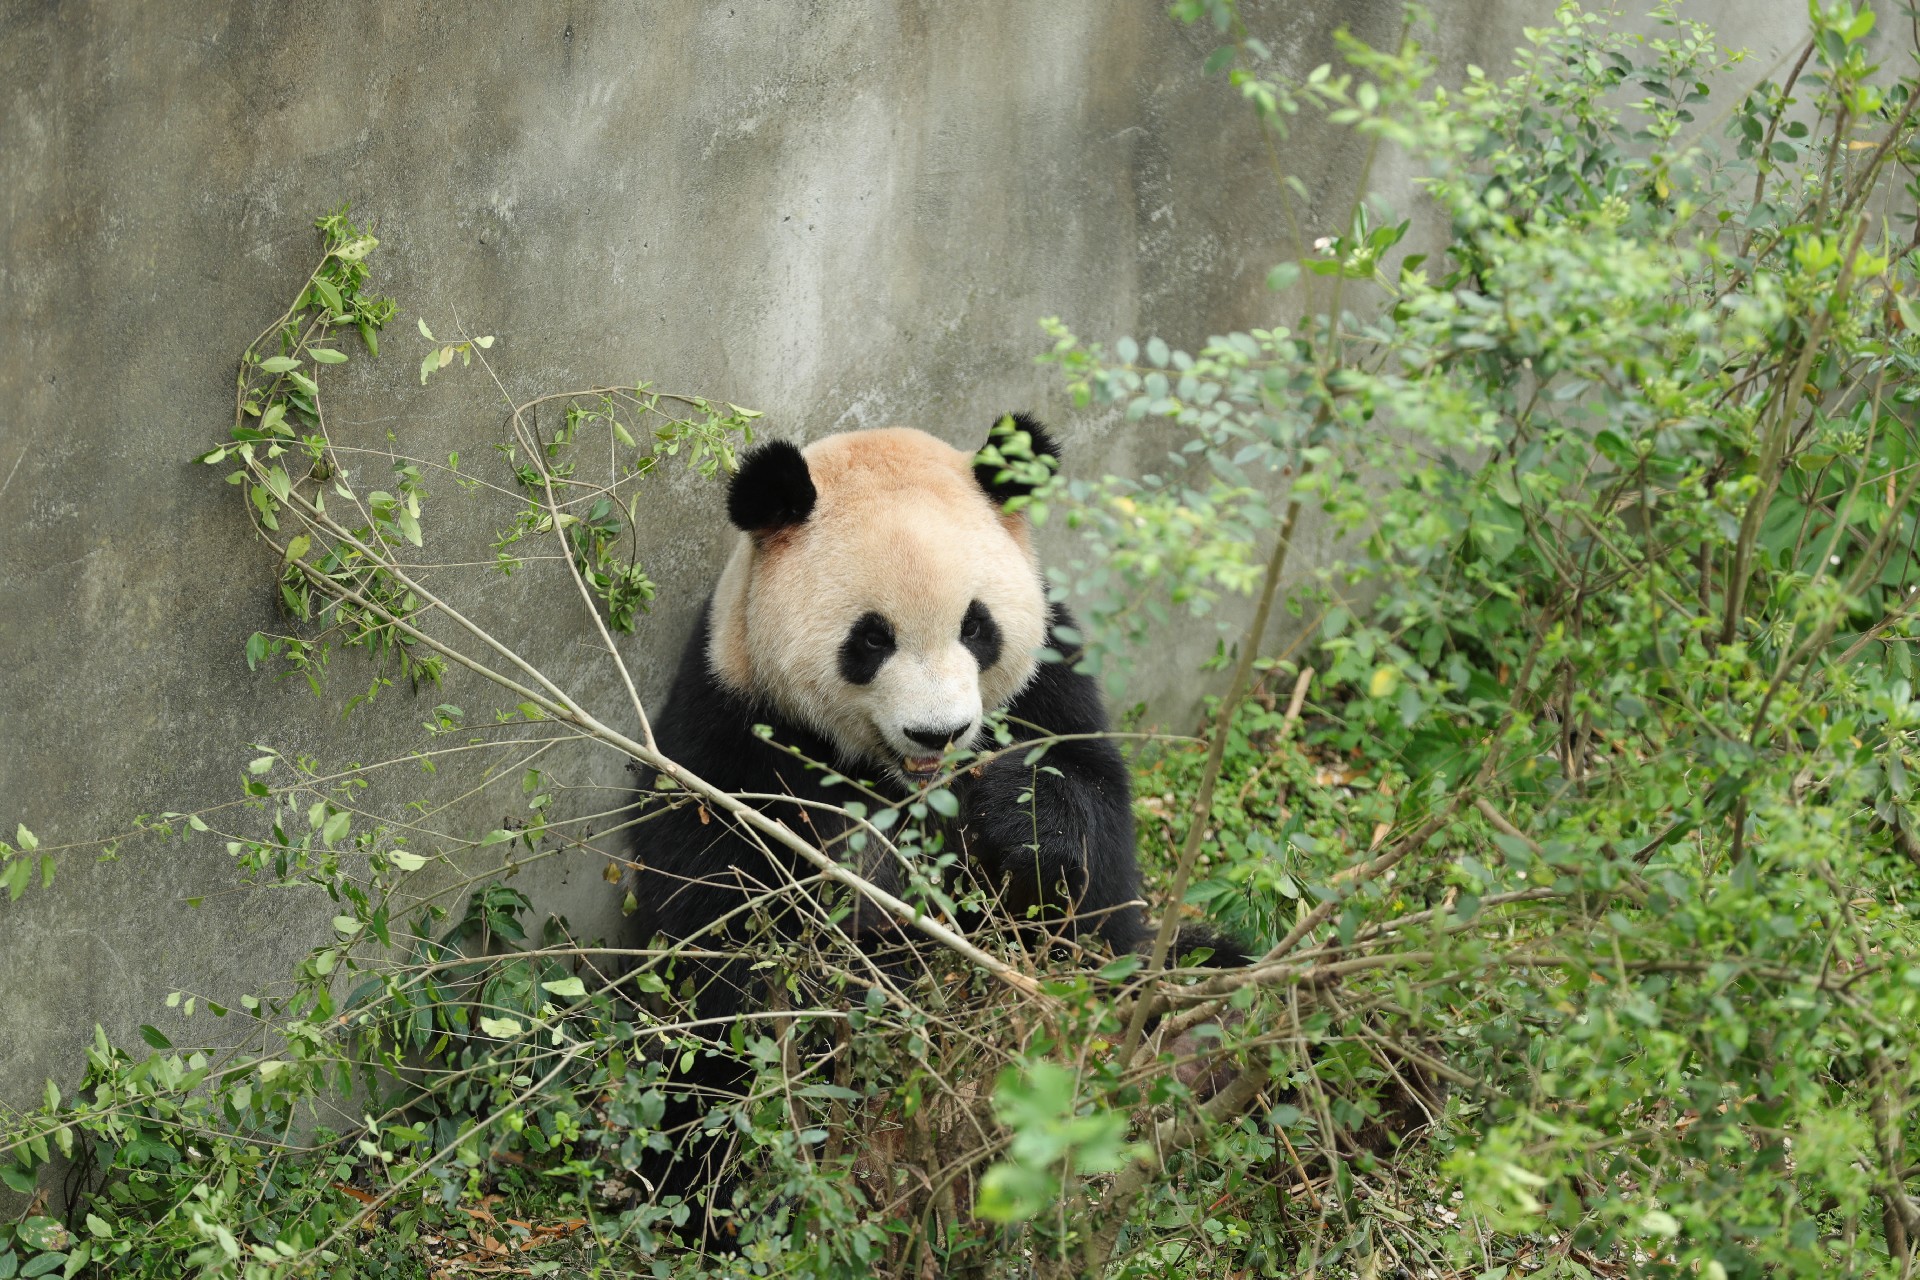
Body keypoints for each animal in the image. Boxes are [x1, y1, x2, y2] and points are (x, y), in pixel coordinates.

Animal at [622, 418, 1236, 1228]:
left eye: (977, 626)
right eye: (871, 638)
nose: (938, 734)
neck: (906, 784)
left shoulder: (1049, 677)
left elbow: (1097, 874)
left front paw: (1022, 814)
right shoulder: (732, 713)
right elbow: (711, 902)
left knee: (1200, 975)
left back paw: (1199, 1052)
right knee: (696, 1105)